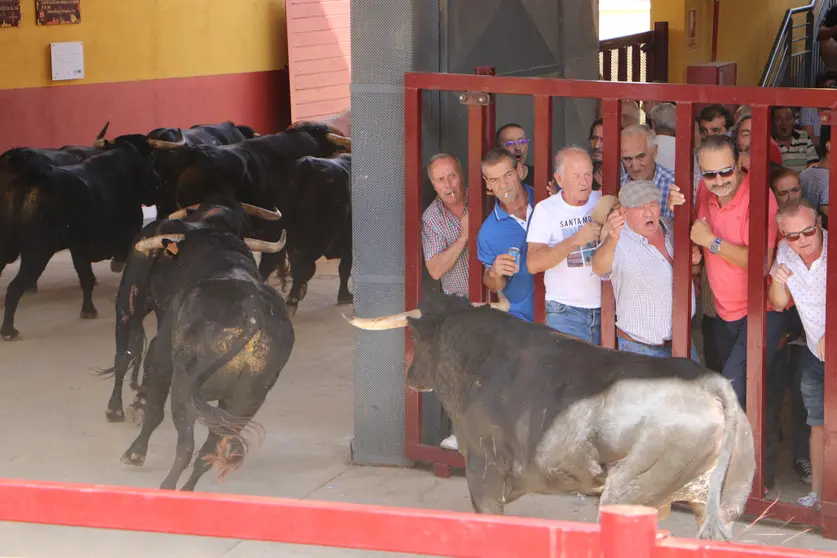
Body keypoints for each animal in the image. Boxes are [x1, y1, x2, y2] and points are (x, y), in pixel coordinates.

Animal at [111, 205, 294, 490]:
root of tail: (253, 309)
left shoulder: (162, 355)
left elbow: (153, 407)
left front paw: (136, 452)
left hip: (183, 385)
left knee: (185, 444)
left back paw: (165, 484)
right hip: (248, 400)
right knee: (208, 451)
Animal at [346, 294, 756, 544]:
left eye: (416, 338)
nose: (411, 375)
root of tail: (711, 382)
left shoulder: (483, 471)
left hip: (628, 489)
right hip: (723, 501)